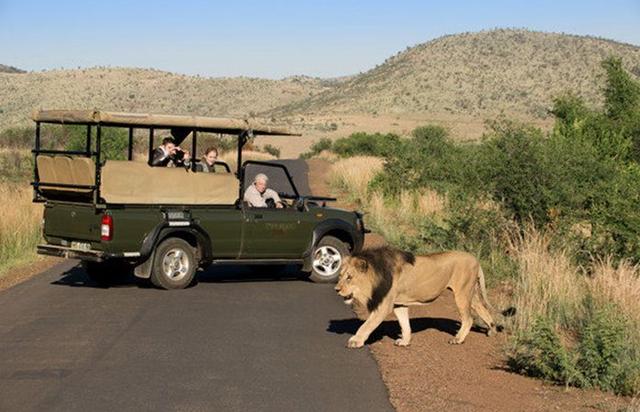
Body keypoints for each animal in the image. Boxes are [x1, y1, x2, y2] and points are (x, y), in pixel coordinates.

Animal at [336, 246, 496, 350]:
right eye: (340, 276)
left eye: (349, 278)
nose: (336, 290)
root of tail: (475, 259)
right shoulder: (399, 304)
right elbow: (405, 324)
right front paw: (405, 341)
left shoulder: (383, 306)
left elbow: (366, 325)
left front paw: (355, 341)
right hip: (470, 294)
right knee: (484, 310)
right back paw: (492, 331)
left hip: (462, 293)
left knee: (468, 319)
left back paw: (458, 339)